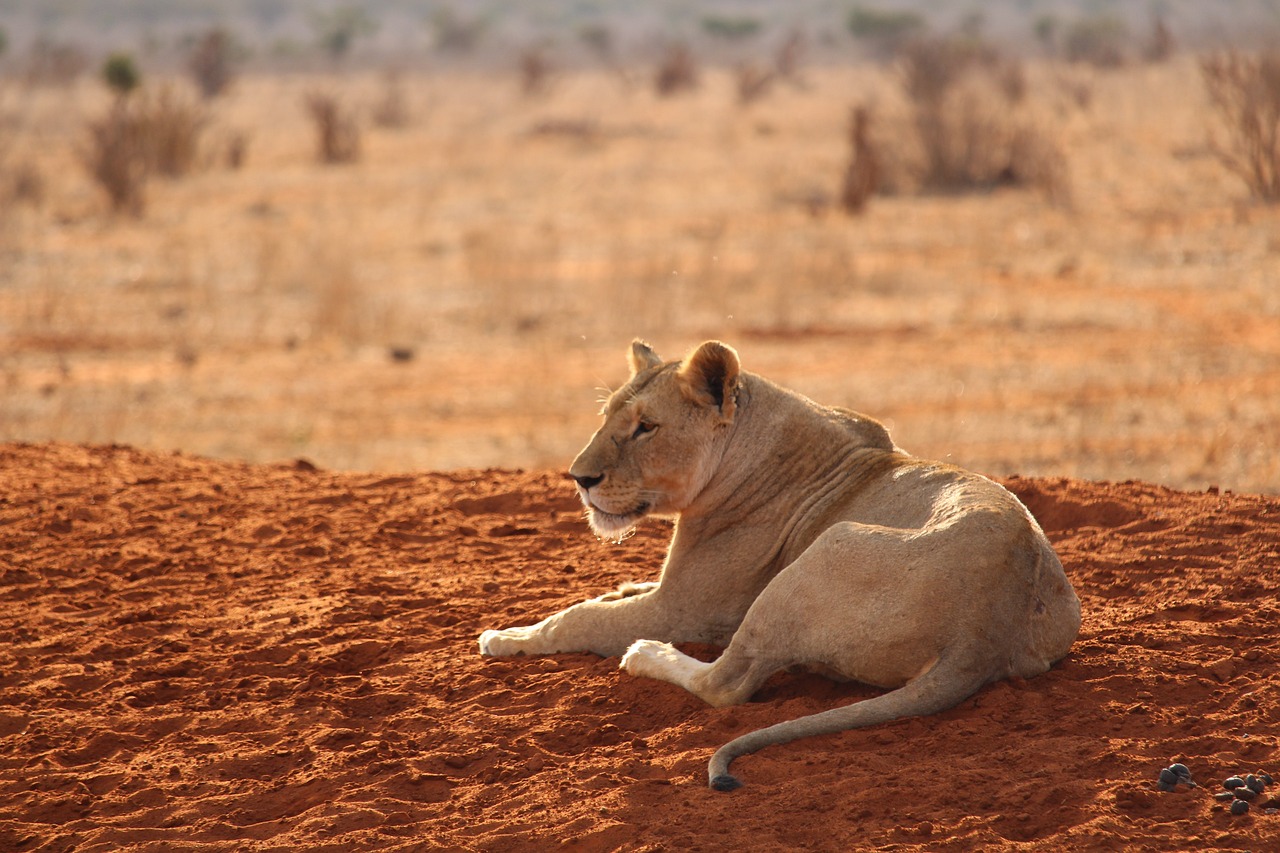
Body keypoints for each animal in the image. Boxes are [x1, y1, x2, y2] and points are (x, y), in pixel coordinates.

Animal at [479, 339, 1081, 791]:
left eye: (646, 427)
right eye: (606, 419)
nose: (580, 479)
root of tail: (983, 632)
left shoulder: (684, 610)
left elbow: (576, 618)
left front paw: (506, 637)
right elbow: (609, 595)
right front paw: (612, 588)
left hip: (827, 548)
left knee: (725, 683)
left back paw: (647, 655)